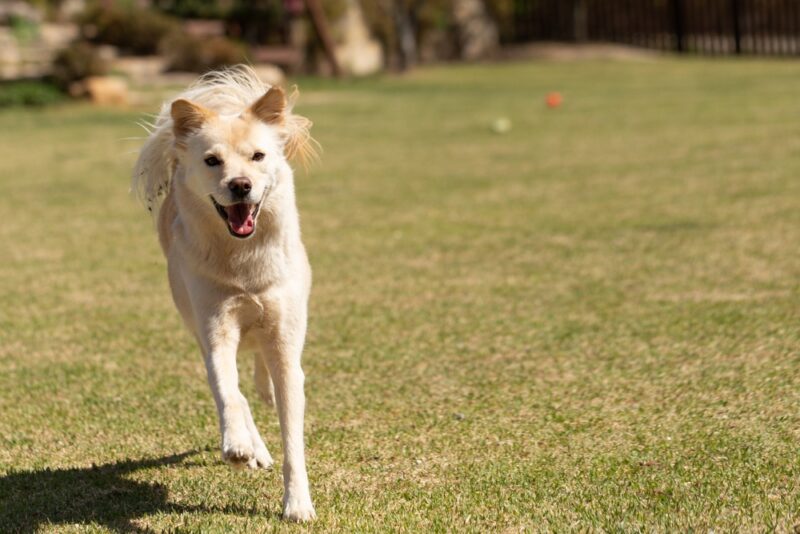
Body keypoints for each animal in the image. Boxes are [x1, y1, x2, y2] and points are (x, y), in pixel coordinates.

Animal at [133, 65, 318, 520]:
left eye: (258, 156)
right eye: (212, 160)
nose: (240, 185)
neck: (243, 264)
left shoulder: (285, 340)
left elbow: (293, 435)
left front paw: (297, 503)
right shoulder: (215, 329)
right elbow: (227, 391)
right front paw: (237, 445)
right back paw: (252, 447)